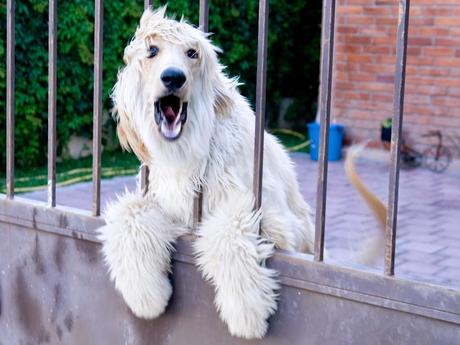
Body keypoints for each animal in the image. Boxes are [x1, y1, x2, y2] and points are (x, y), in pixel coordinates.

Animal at [99, 8, 316, 338]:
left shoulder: (279, 221)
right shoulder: (162, 195)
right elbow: (130, 214)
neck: (186, 153)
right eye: (152, 51)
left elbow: (229, 227)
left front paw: (247, 313)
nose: (173, 77)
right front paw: (147, 296)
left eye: (192, 53)